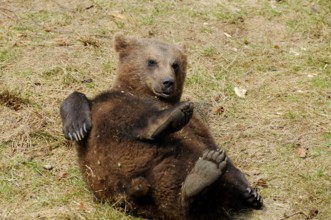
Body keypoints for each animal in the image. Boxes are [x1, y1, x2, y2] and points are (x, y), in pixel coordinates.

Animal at [59, 33, 262, 219]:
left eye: (175, 64)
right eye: (151, 61)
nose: (167, 82)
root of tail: (135, 185)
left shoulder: (199, 126)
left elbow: (215, 148)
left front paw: (251, 193)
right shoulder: (113, 98)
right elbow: (78, 99)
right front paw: (76, 127)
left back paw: (204, 173)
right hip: (110, 159)